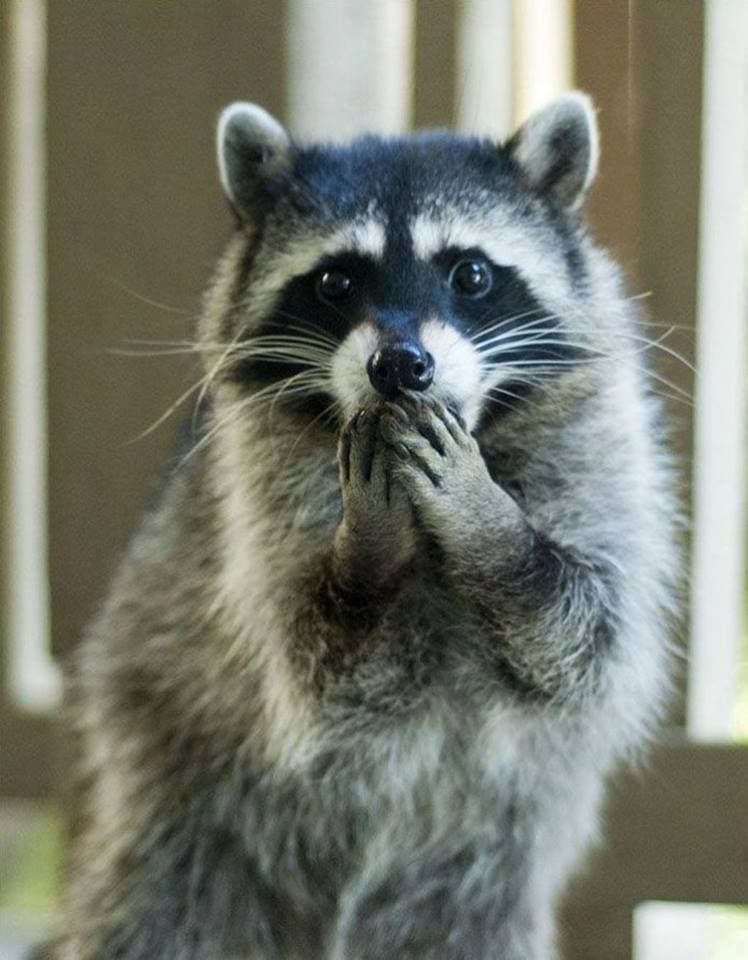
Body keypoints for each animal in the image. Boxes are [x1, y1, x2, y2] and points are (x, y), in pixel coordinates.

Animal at [56, 93, 678, 960]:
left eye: (471, 273)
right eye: (335, 280)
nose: (401, 365)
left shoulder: (601, 451)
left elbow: (588, 639)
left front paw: (492, 531)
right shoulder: (256, 496)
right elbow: (326, 668)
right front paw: (371, 553)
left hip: (471, 880)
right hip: (177, 800)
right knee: (154, 911)